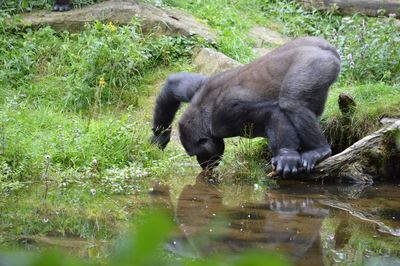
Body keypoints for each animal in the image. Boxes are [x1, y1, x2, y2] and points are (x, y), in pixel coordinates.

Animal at [152, 36, 340, 176]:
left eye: (198, 154)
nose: (203, 165)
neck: (202, 113)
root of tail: (326, 47)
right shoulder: (196, 88)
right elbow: (172, 84)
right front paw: (158, 138)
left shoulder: (224, 117)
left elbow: (273, 112)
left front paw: (286, 155)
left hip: (314, 63)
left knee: (292, 103)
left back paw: (319, 149)